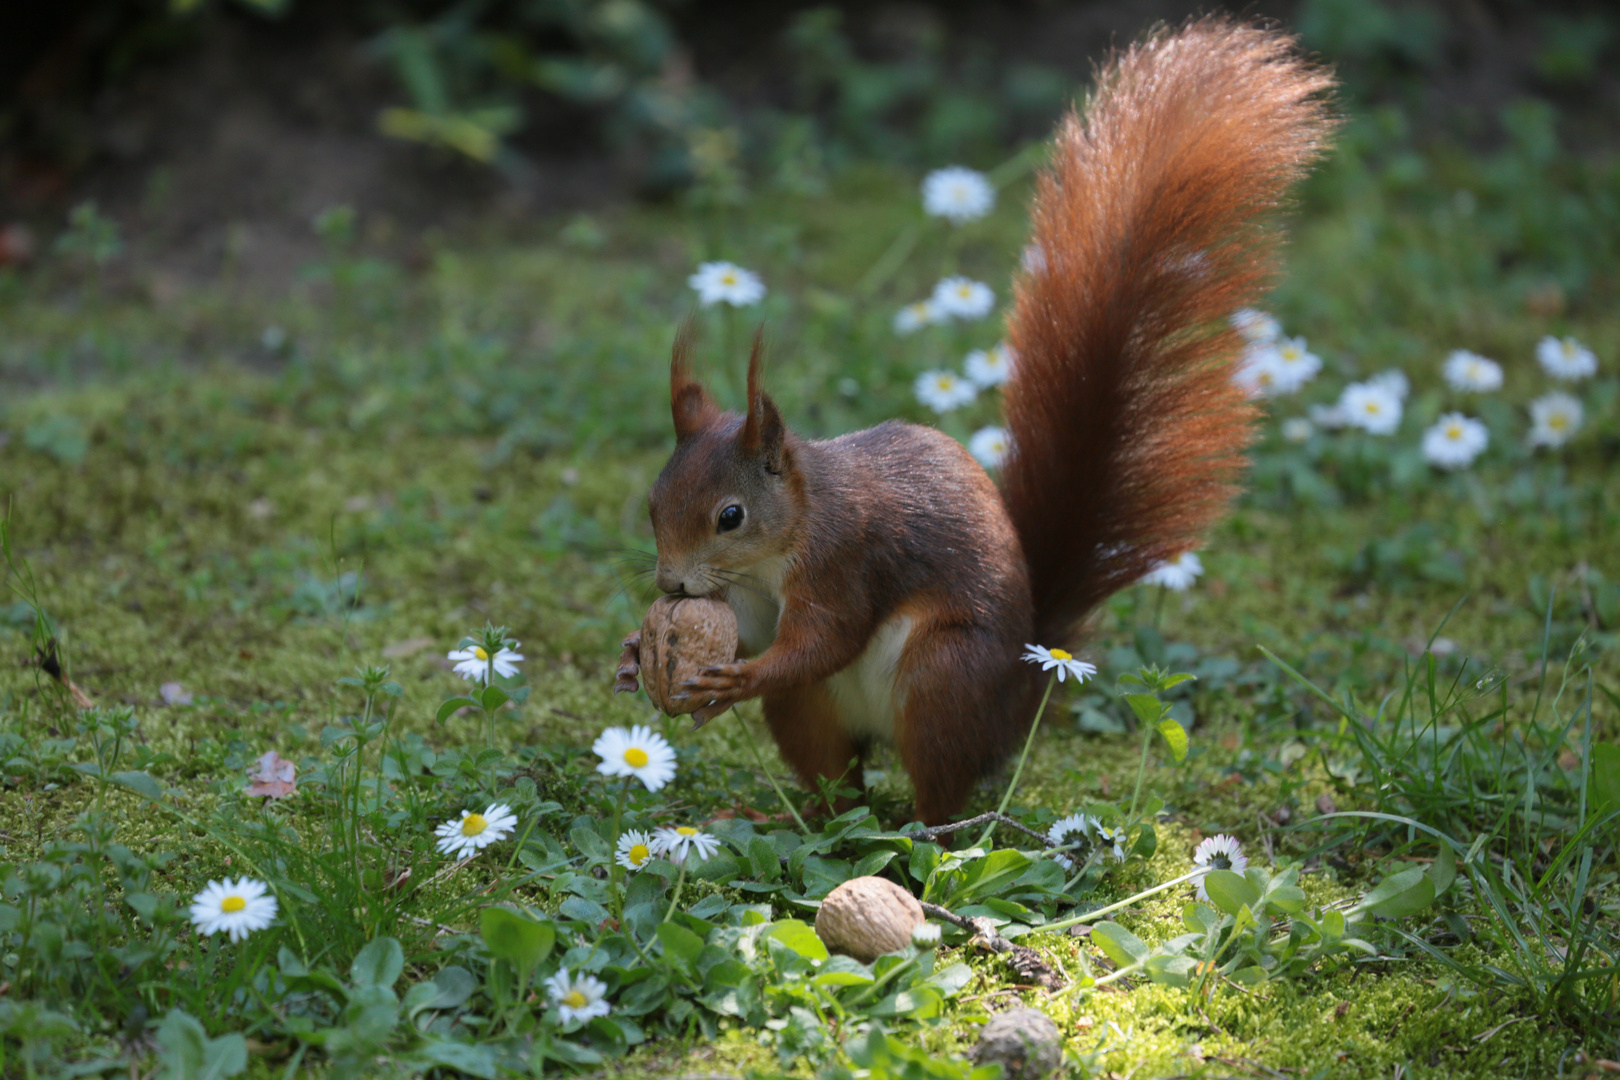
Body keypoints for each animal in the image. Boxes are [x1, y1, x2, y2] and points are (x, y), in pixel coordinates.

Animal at [612, 21, 1334, 822]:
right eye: (653, 502)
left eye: (730, 516)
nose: (672, 584)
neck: (783, 539)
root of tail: (1022, 691)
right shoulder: (749, 598)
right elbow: (760, 636)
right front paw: (638, 654)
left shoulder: (845, 561)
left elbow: (822, 641)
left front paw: (735, 678)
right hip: (814, 715)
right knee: (838, 785)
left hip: (944, 677)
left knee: (939, 789)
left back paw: (929, 841)